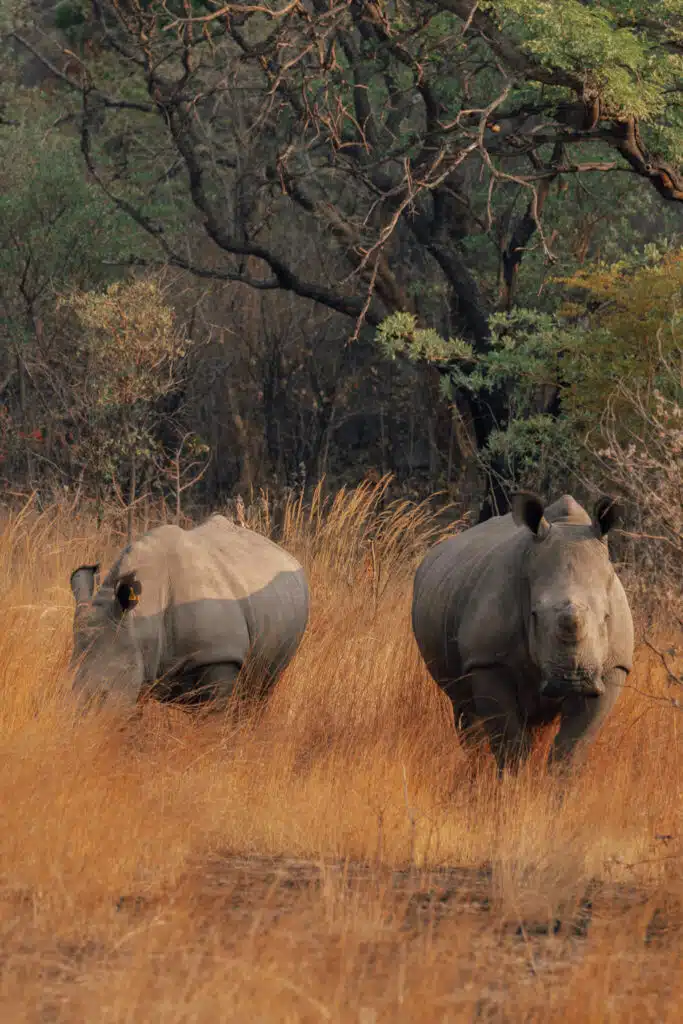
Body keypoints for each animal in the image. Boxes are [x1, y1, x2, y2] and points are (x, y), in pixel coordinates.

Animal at [69, 515, 309, 712]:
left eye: (102, 696)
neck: (140, 620)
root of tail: (286, 554)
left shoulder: (219, 655)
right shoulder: (142, 665)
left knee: (262, 688)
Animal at [411, 493, 634, 772]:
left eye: (607, 617)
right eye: (534, 615)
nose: (573, 679)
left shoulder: (612, 667)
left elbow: (573, 746)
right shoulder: (488, 660)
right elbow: (509, 742)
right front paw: (512, 782)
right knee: (465, 709)